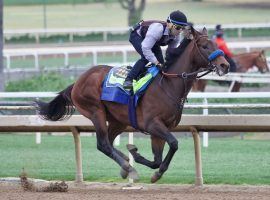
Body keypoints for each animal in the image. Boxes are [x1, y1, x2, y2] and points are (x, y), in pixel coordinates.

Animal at [35, 27, 230, 184]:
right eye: (204, 46)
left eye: (215, 43)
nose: (225, 65)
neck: (168, 84)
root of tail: (77, 81)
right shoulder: (153, 124)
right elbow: (174, 144)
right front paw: (147, 167)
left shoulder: (160, 129)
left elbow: (157, 159)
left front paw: (141, 159)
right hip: (95, 111)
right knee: (103, 144)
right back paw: (129, 168)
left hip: (118, 120)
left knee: (108, 143)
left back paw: (125, 164)